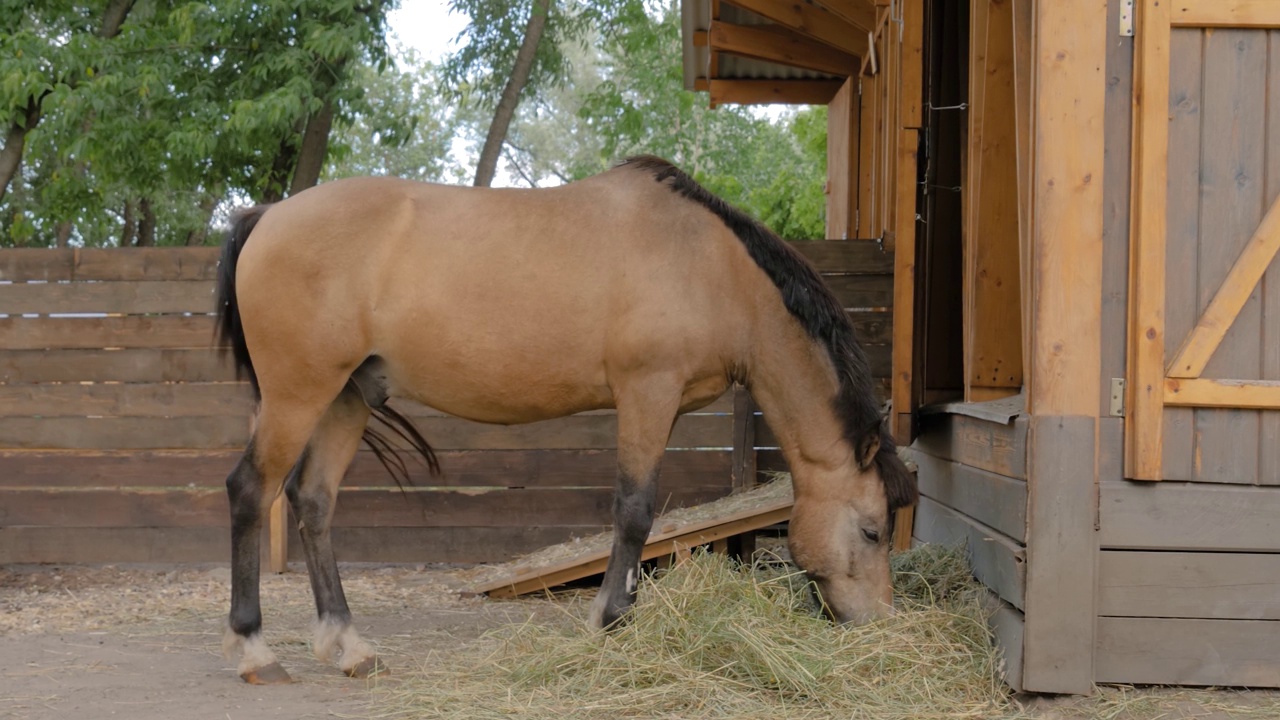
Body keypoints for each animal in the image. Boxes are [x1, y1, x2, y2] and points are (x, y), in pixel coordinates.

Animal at [217, 154, 921, 681]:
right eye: (871, 531)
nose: (880, 626)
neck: (712, 268)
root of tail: (266, 215)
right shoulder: (646, 392)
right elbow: (634, 510)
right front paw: (610, 620)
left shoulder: (661, 405)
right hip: (298, 394)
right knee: (251, 491)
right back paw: (255, 649)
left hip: (347, 396)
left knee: (313, 502)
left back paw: (347, 646)